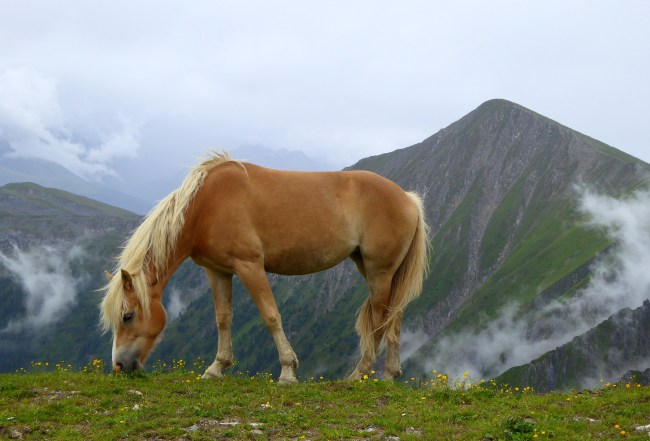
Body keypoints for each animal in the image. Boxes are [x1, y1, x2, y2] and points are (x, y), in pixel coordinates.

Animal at [100, 151, 429, 384]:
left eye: (128, 316)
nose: (119, 365)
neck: (207, 205)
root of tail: (407, 198)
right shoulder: (217, 271)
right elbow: (223, 318)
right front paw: (216, 367)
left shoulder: (250, 267)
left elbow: (271, 316)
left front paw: (287, 371)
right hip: (375, 269)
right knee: (394, 315)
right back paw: (389, 375)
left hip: (379, 270)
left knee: (380, 319)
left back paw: (358, 374)